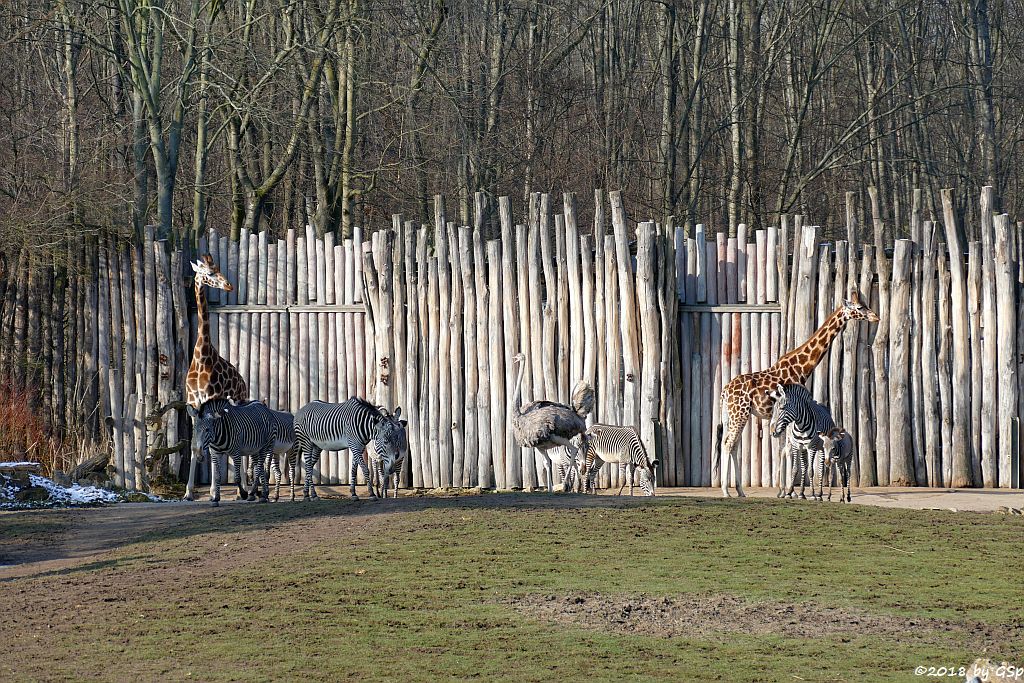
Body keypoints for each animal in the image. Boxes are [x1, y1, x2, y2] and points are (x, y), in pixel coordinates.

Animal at [184, 253, 247, 499]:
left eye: (218, 268)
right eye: (210, 273)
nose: (229, 285)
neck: (202, 358)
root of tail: (243, 381)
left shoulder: (211, 401)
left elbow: (212, 446)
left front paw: (213, 490)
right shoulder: (193, 404)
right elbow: (194, 445)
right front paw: (188, 492)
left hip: (239, 400)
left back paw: (241, 489)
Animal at [712, 290, 880, 497]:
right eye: (859, 307)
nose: (876, 316)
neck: (800, 368)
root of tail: (724, 391)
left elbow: (785, 449)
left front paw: (785, 489)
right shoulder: (791, 413)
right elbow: (788, 449)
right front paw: (787, 490)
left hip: (732, 415)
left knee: (731, 444)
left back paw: (740, 491)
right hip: (740, 413)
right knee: (728, 444)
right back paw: (726, 491)